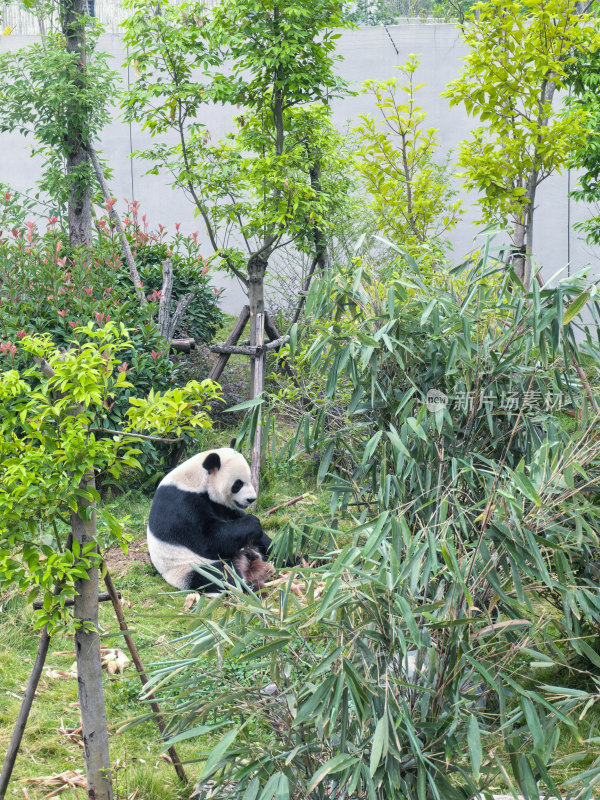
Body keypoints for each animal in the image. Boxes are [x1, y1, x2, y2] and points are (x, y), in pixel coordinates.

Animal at [148, 446, 274, 592]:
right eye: (238, 484)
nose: (251, 499)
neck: (195, 480)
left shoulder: (219, 505)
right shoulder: (181, 504)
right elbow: (208, 539)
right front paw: (253, 522)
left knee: (270, 549)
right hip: (189, 567)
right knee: (220, 576)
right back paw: (248, 586)